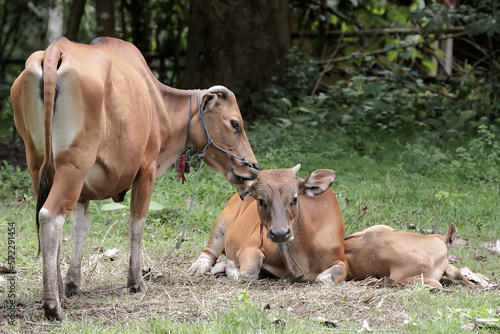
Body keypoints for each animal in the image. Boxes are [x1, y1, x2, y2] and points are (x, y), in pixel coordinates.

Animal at [188, 164, 348, 284]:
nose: (280, 233)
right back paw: (198, 267)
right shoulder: (249, 246)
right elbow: (248, 273)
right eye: (261, 200)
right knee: (209, 252)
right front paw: (232, 267)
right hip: (221, 223)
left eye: (295, 198)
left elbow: (323, 278)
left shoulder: (342, 261)